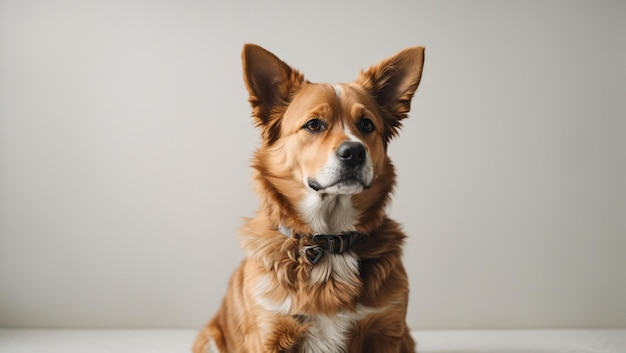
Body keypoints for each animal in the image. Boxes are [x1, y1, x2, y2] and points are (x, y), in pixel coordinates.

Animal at [191, 44, 424, 352]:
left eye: (366, 125)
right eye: (313, 125)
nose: (354, 152)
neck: (329, 241)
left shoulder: (386, 331)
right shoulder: (270, 334)